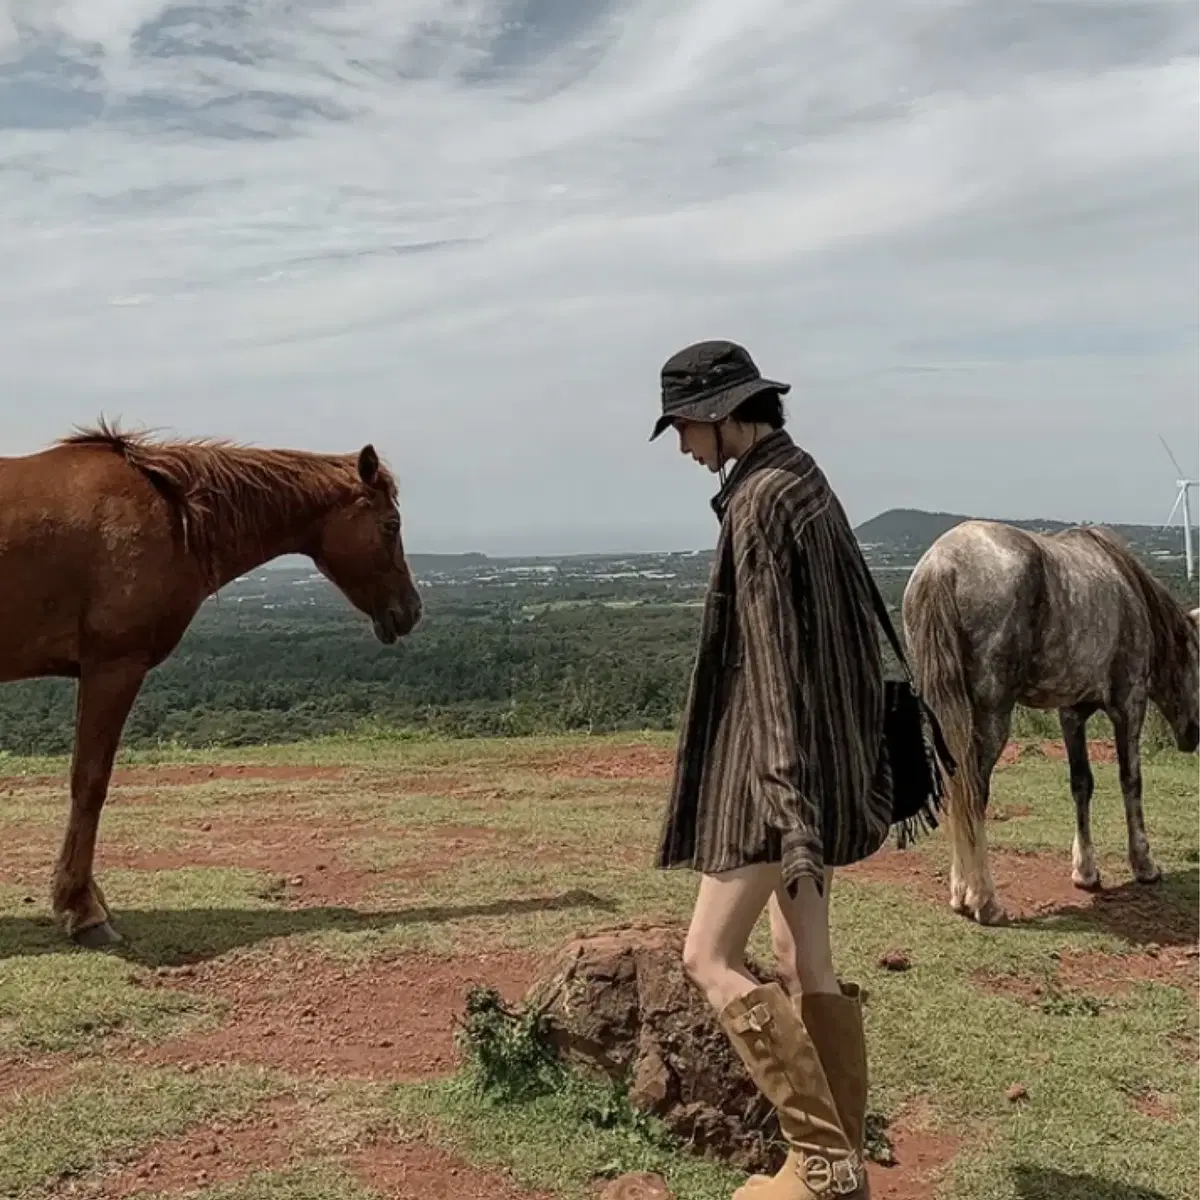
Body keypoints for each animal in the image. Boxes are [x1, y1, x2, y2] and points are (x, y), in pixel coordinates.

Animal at [0, 422, 424, 945]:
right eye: (391, 525)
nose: (411, 610)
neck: (170, 510)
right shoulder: (112, 666)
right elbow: (90, 782)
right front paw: (82, 911)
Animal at [902, 520, 1195, 921]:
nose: (1193, 736)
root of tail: (941, 564)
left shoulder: (1071, 713)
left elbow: (1081, 784)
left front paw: (1086, 871)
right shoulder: (1129, 704)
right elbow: (1131, 781)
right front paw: (1144, 865)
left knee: (953, 790)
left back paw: (960, 892)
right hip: (991, 718)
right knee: (973, 792)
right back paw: (984, 900)